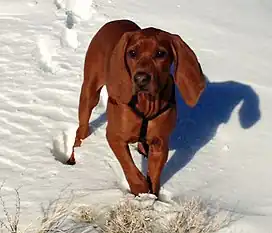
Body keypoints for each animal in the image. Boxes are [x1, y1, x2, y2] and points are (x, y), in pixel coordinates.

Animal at [67, 19, 205, 196]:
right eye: (132, 53)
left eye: (160, 53)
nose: (141, 79)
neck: (147, 104)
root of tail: (115, 21)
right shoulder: (114, 137)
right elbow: (130, 168)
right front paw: (140, 190)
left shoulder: (160, 144)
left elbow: (154, 177)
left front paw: (152, 196)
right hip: (90, 92)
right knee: (83, 127)